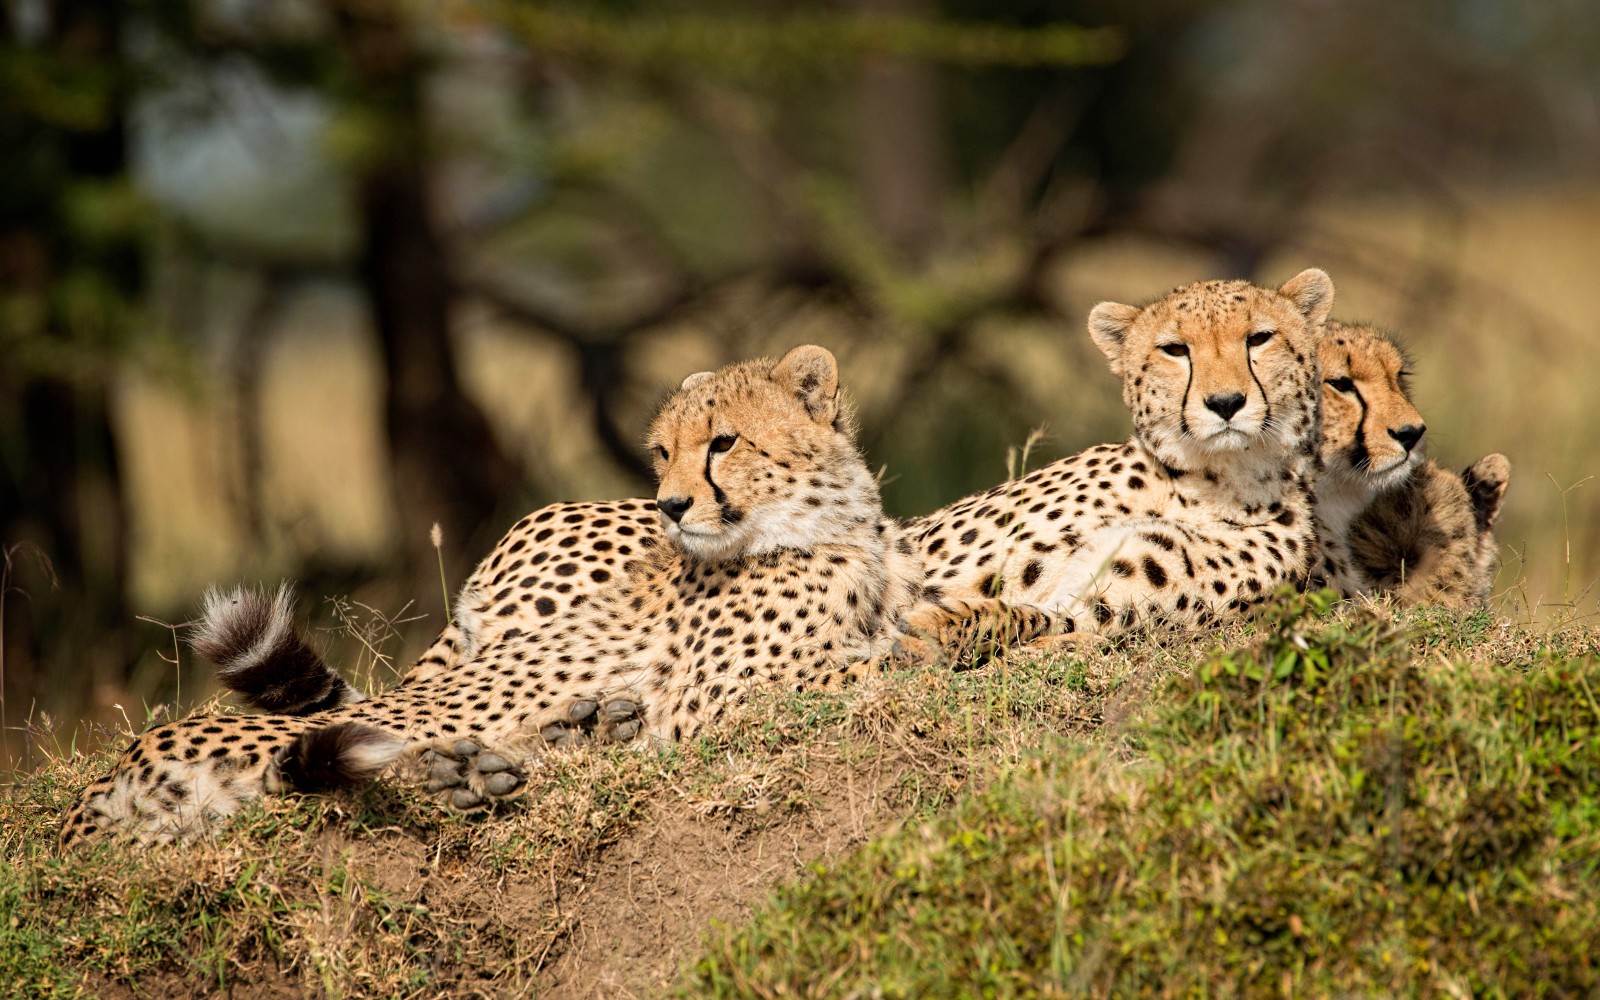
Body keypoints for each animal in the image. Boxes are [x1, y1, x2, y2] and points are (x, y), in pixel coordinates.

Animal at [902, 267, 1337, 640]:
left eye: (1260, 338)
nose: (1225, 402)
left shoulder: (1100, 606)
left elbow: (1035, 617)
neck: (1210, 486)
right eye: (1174, 349)